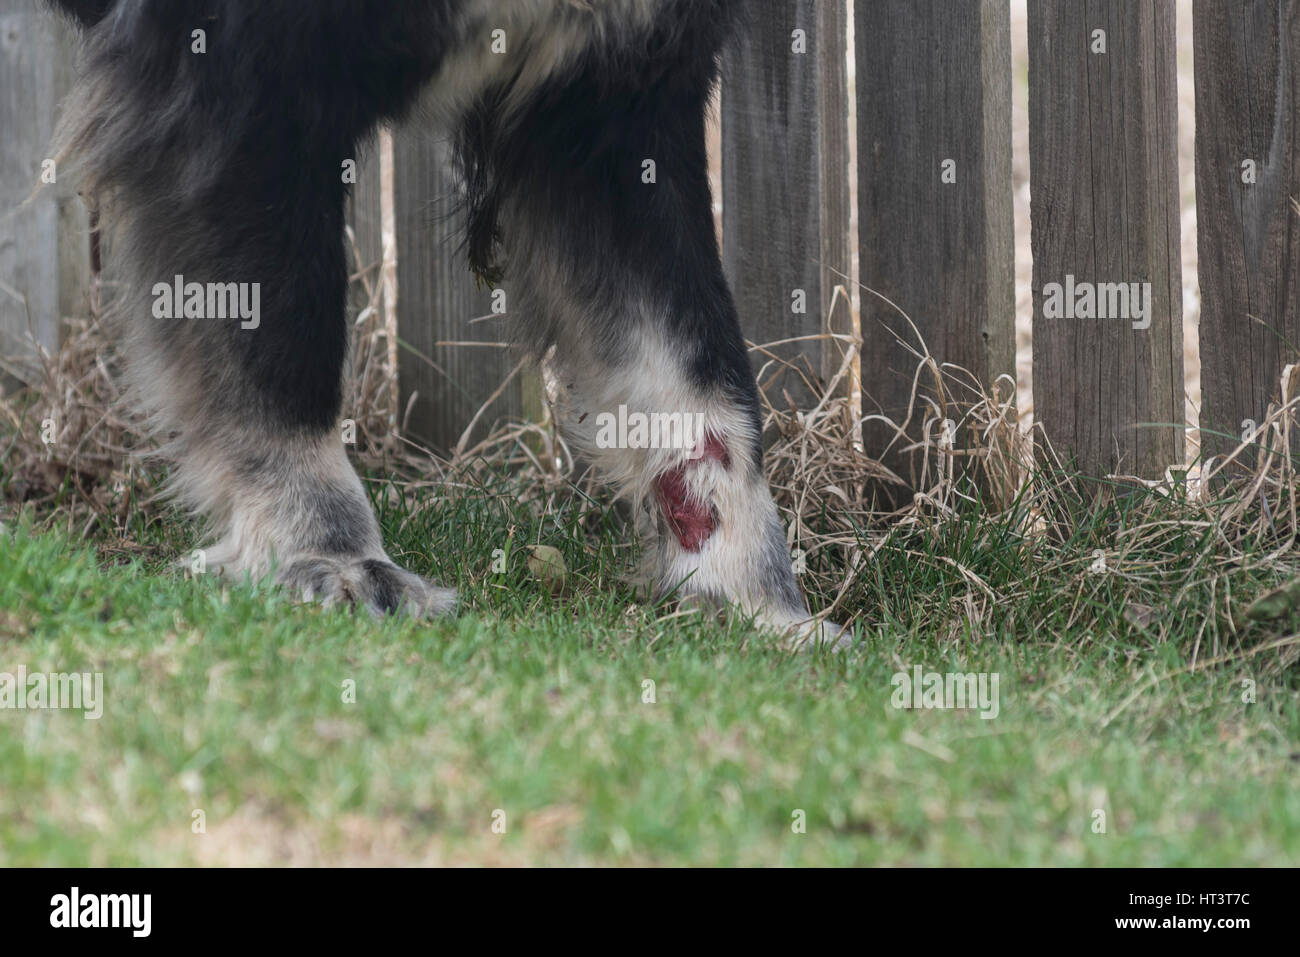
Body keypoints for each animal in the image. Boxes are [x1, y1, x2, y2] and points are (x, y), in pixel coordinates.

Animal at [45, 0, 847, 650]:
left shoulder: (609, 103)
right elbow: (284, 350)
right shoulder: (245, 75)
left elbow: (697, 376)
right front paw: (326, 557)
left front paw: (755, 602)